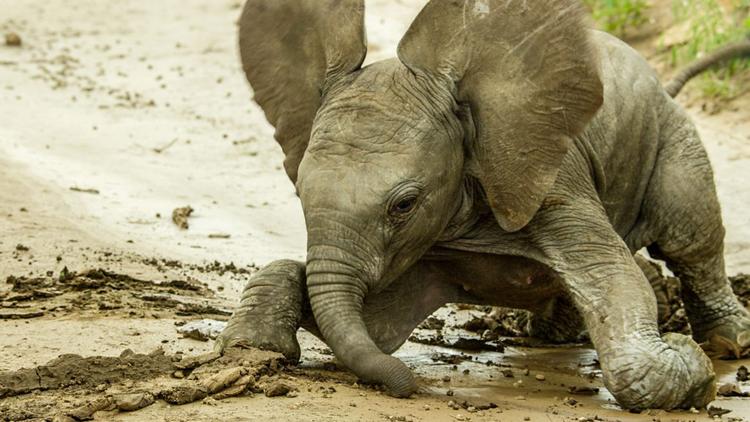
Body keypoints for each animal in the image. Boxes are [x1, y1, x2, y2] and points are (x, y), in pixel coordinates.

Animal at [217, 0, 750, 410]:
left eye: (404, 205)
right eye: (300, 192)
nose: (411, 388)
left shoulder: (554, 182)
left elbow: (616, 282)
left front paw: (686, 361)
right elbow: (376, 326)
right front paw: (254, 348)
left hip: (672, 133)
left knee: (691, 237)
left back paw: (728, 342)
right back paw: (552, 333)